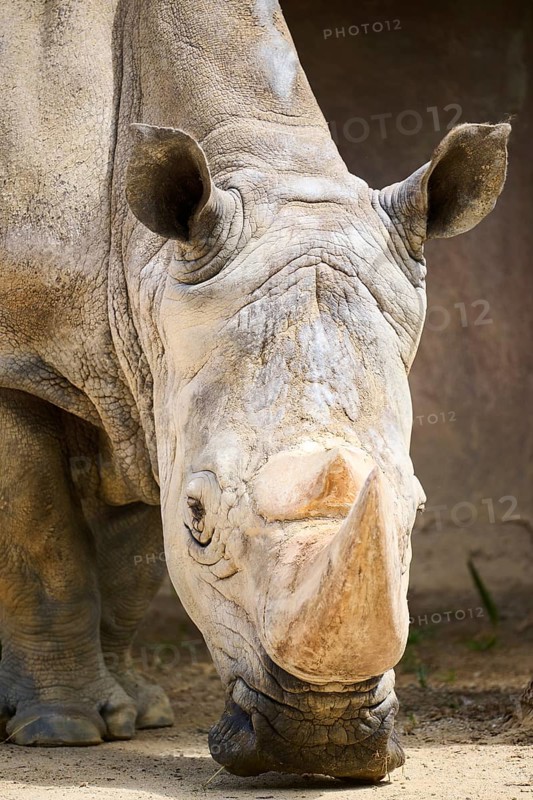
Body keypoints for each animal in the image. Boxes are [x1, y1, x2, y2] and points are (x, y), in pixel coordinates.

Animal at [0, 0, 510, 782]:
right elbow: (45, 548)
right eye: (199, 519)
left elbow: (130, 562)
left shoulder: (149, 375)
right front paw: (65, 732)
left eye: (418, 512)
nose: (326, 739)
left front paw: (136, 714)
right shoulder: (23, 363)